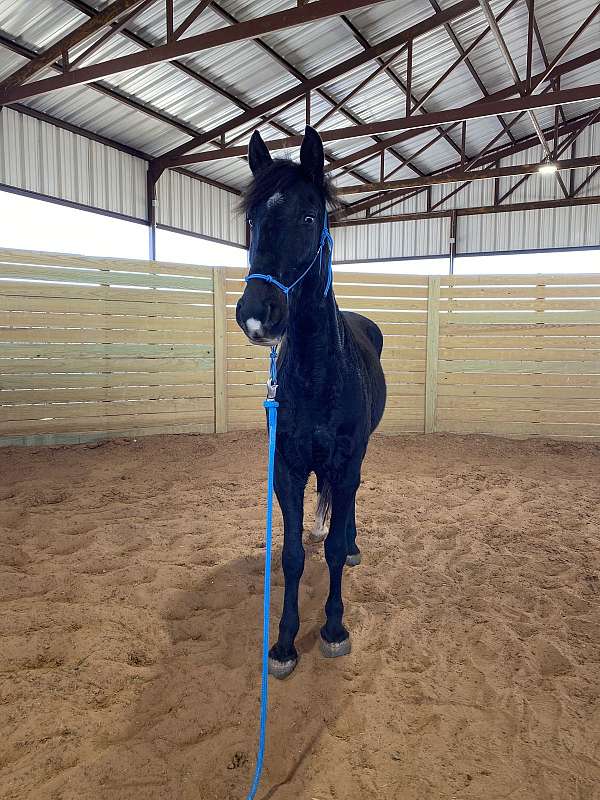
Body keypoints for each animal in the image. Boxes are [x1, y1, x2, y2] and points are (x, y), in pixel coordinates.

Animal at [236, 125, 386, 679]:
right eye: (253, 219)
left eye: (308, 217)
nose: (256, 313)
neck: (321, 373)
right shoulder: (287, 467)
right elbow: (293, 555)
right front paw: (282, 643)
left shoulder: (345, 462)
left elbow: (337, 551)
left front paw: (334, 628)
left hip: (358, 460)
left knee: (349, 509)